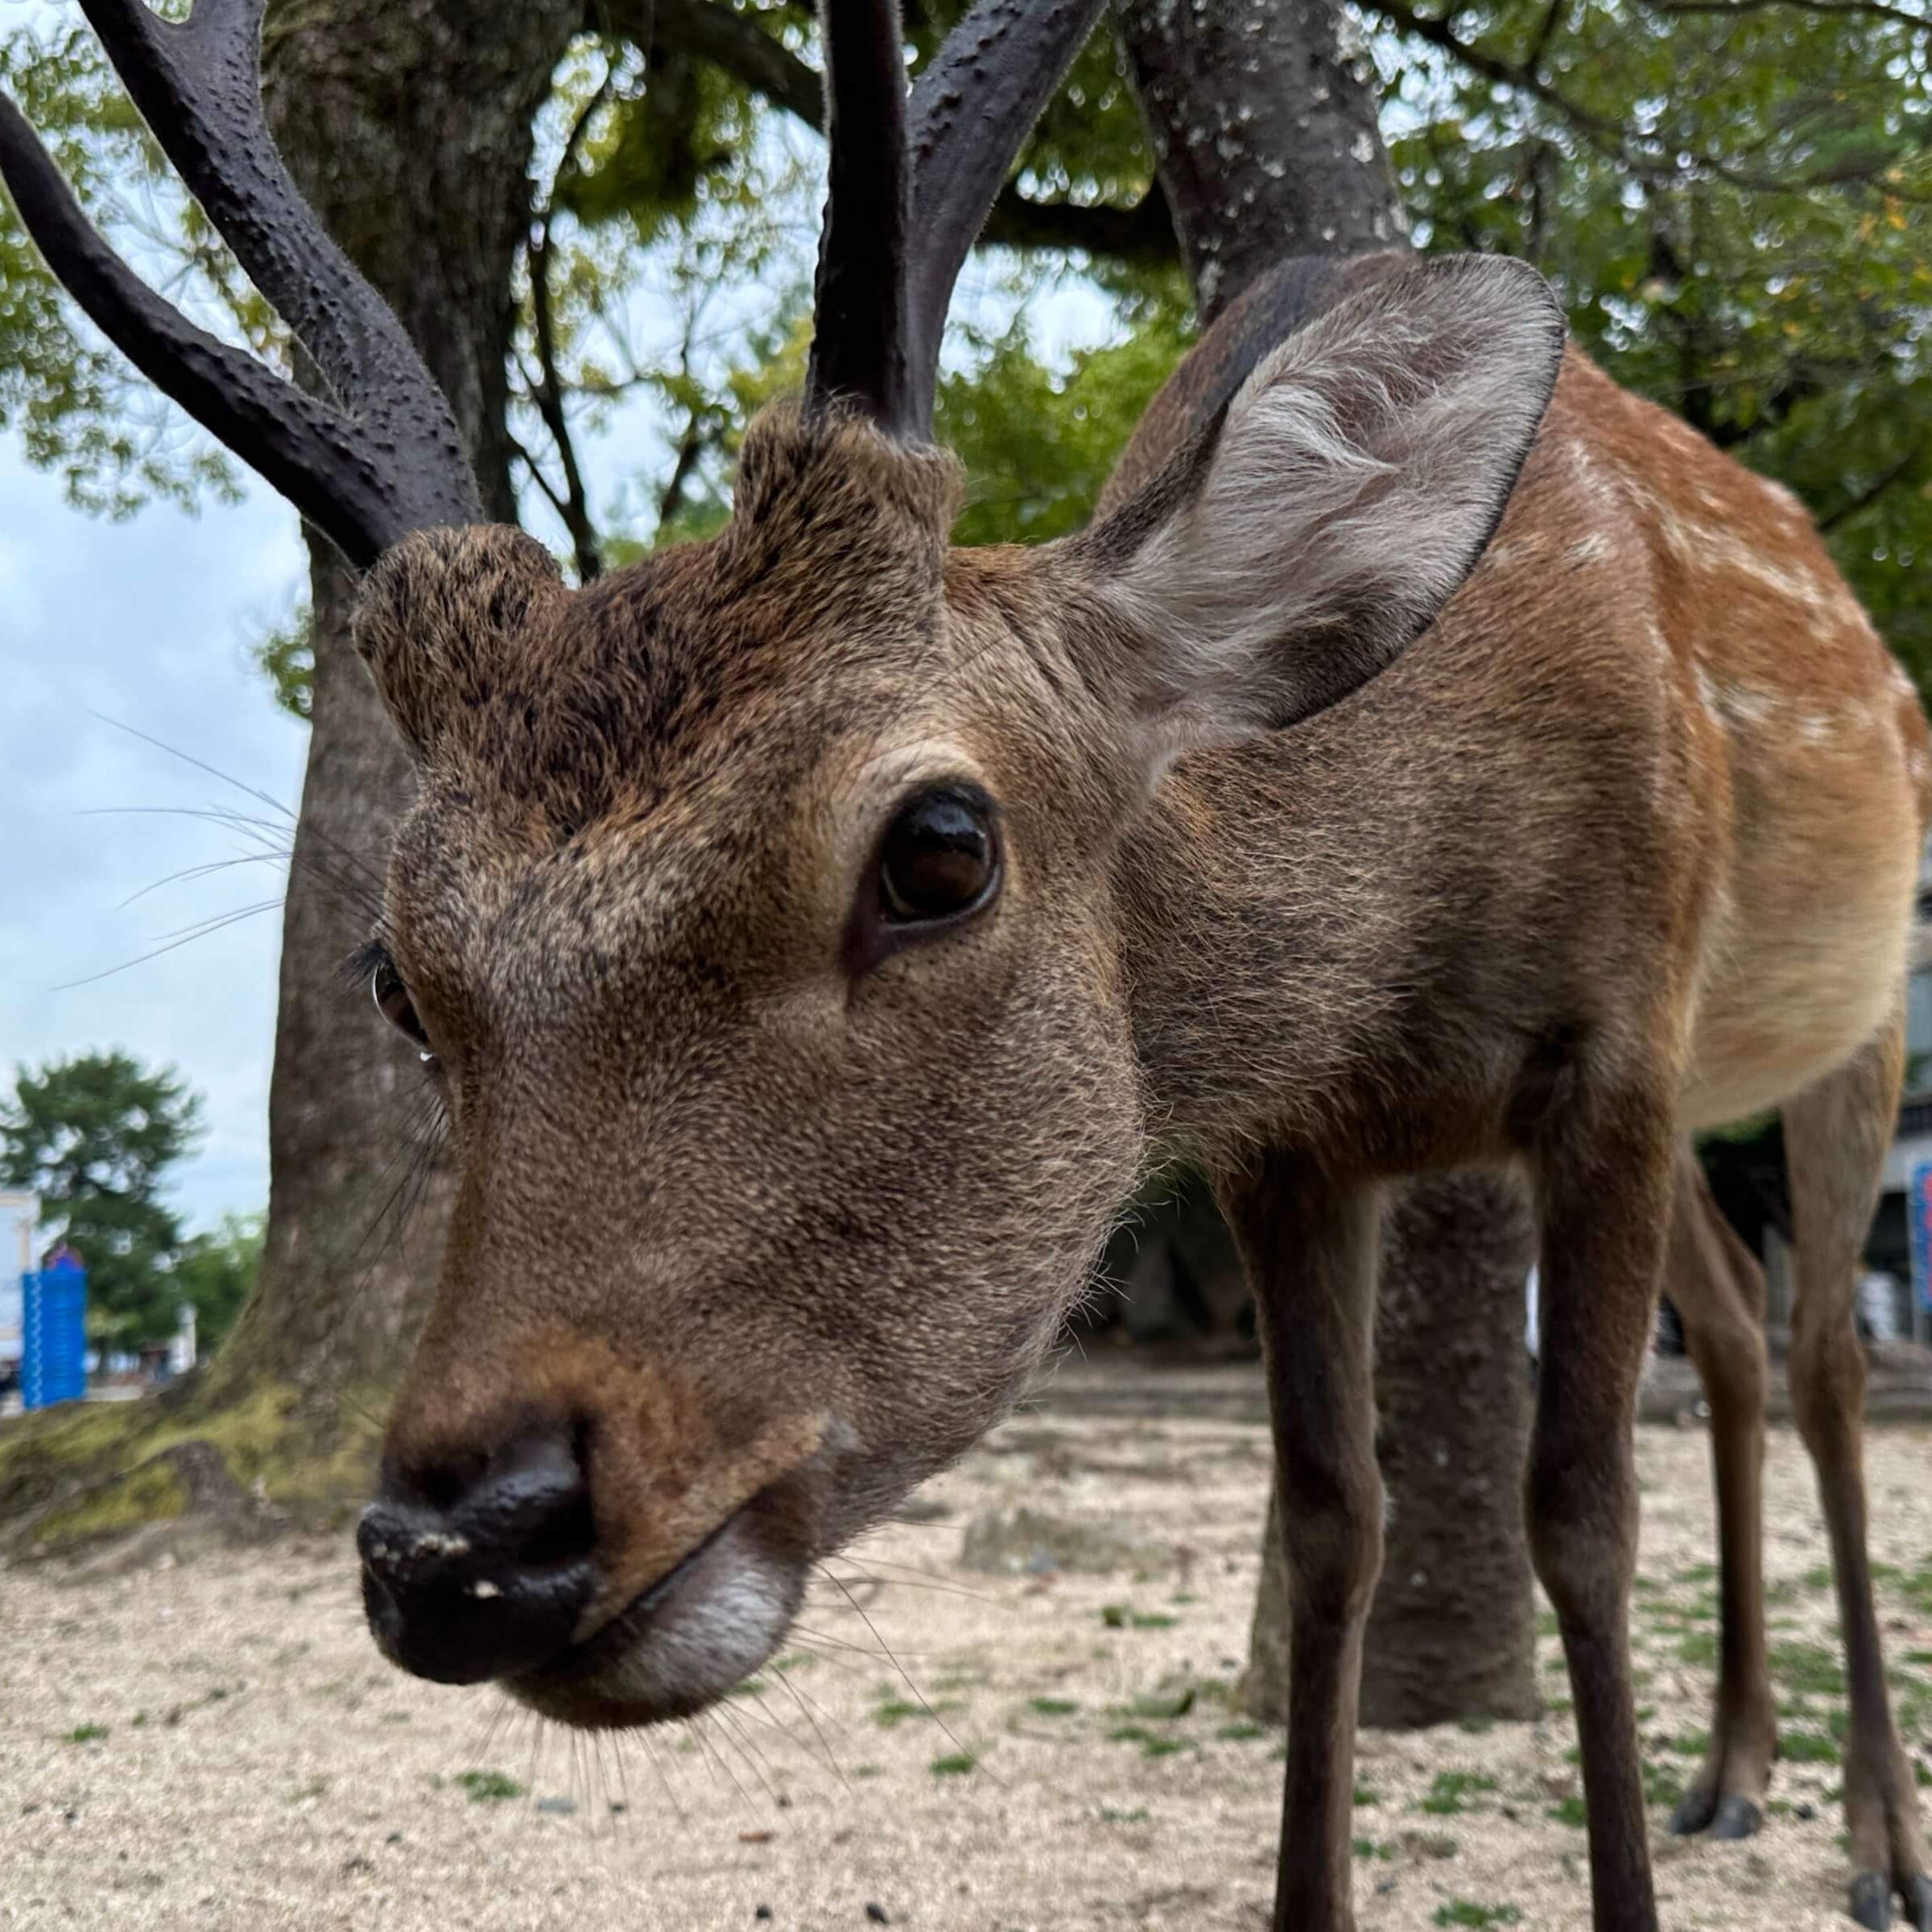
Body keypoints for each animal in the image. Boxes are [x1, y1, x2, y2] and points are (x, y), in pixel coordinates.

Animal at [7, 3, 1924, 1932]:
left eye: (939, 847)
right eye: (397, 974)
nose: (459, 1546)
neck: (1404, 962)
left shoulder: (1618, 1045)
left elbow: (1582, 1516)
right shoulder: (1290, 1145)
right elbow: (1330, 1523)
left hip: (1851, 1024)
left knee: (1824, 1355)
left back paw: (1870, 1838)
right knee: (1738, 1335)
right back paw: (1733, 1775)